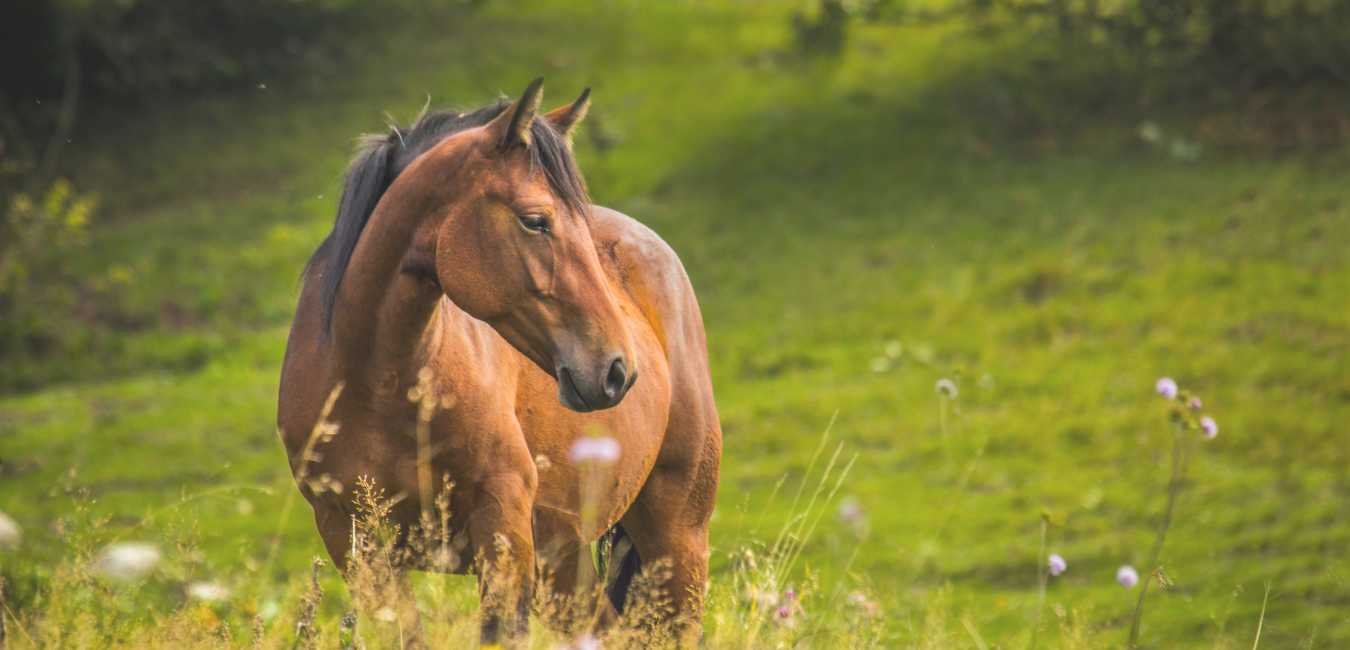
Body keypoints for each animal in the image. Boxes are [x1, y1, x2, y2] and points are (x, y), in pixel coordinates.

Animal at [277, 78, 722, 646]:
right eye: (535, 221)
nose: (616, 369)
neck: (377, 385)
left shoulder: (503, 524)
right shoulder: (352, 540)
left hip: (676, 537)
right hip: (565, 558)